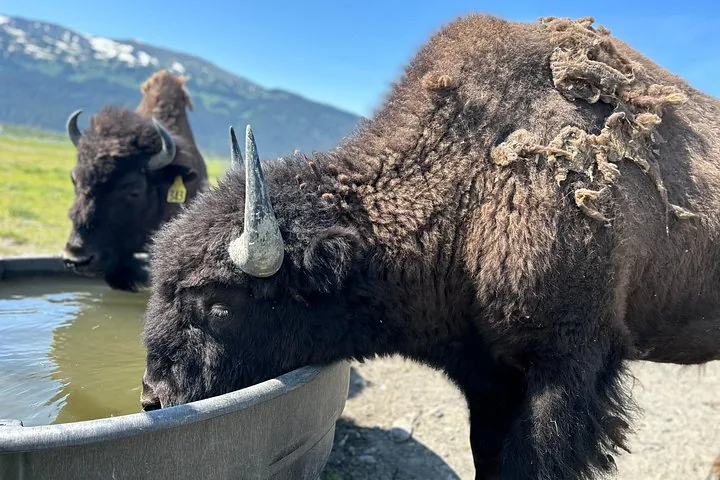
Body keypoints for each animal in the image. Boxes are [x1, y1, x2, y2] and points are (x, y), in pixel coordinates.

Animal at [140, 15, 719, 480]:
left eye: (218, 304)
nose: (152, 396)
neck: (470, 179)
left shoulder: (567, 364)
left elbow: (530, 460)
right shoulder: (487, 377)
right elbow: (487, 455)